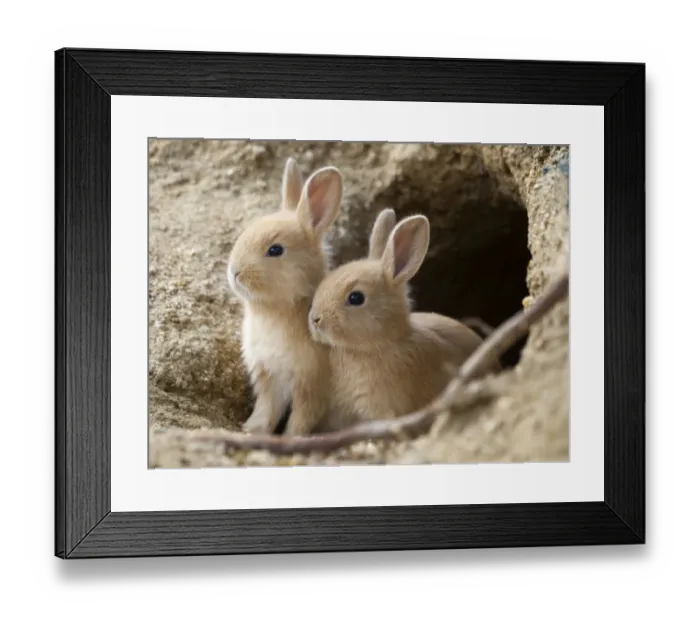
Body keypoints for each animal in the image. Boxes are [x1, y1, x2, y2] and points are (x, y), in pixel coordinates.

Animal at [227, 157, 343, 436]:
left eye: (275, 250)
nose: (234, 272)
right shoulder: (268, 376)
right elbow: (267, 409)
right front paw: (250, 429)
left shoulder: (310, 386)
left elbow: (300, 418)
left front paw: (290, 438)